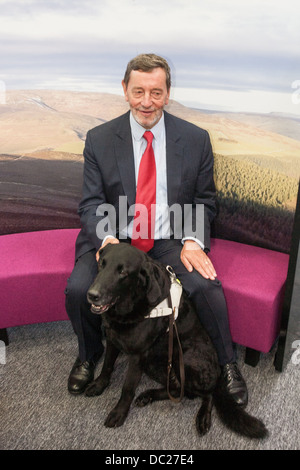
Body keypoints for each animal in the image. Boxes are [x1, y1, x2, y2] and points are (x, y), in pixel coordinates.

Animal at [85, 242, 268, 440]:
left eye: (123, 273)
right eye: (101, 264)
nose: (92, 295)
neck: (128, 308)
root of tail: (218, 371)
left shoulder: (137, 356)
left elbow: (127, 388)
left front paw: (119, 412)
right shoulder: (112, 339)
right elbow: (107, 367)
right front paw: (99, 385)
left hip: (184, 359)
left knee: (206, 393)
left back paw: (203, 417)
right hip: (155, 364)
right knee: (177, 390)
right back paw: (148, 395)